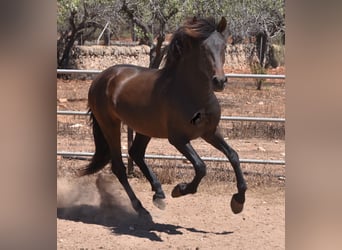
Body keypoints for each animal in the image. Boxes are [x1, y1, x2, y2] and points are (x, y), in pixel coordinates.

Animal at [79, 16, 247, 218]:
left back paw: (158, 194)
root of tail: (101, 78)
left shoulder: (210, 132)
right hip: (110, 125)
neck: (191, 94)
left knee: (136, 153)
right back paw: (140, 207)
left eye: (224, 47)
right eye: (203, 49)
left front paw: (238, 201)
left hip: (145, 127)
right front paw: (180, 189)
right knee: (119, 167)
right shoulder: (178, 139)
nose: (219, 81)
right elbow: (201, 166)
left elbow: (234, 156)